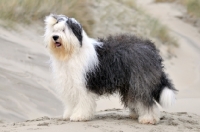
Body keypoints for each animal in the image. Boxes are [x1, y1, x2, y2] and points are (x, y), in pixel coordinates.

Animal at [43, 13, 177, 124]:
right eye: (54, 30)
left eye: (64, 30)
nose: (55, 37)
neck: (72, 53)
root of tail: (150, 48)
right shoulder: (70, 83)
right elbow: (71, 101)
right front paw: (69, 114)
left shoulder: (84, 84)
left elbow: (83, 101)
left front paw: (79, 116)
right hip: (129, 85)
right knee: (135, 99)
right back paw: (136, 114)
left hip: (139, 81)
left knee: (145, 100)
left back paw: (148, 118)